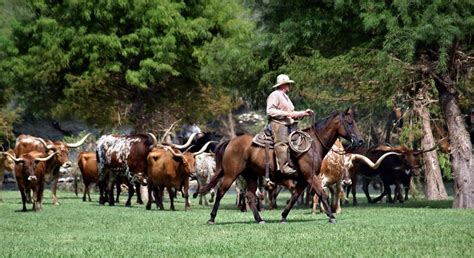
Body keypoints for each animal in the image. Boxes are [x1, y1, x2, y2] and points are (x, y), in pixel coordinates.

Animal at [200, 107, 362, 224]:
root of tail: (230, 141)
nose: (360, 141)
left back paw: (260, 219)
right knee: (221, 192)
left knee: (250, 196)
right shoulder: (311, 177)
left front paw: (283, 216)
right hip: (230, 174)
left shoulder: (303, 180)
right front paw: (332, 216)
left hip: (250, 175)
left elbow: (295, 196)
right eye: (349, 123)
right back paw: (211, 218)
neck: (313, 144)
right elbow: (322, 193)